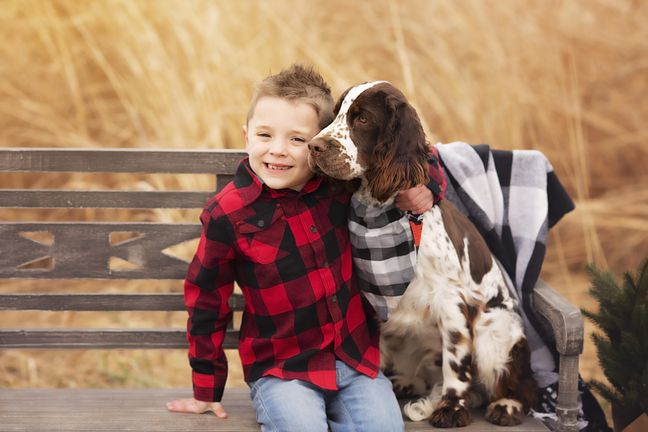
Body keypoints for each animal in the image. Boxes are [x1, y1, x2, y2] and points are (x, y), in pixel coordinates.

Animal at [307, 81, 537, 427]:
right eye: (336, 114)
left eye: (362, 118)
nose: (313, 146)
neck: (382, 209)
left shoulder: (452, 300)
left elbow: (455, 363)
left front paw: (451, 408)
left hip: (494, 329)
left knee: (513, 382)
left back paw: (505, 403)